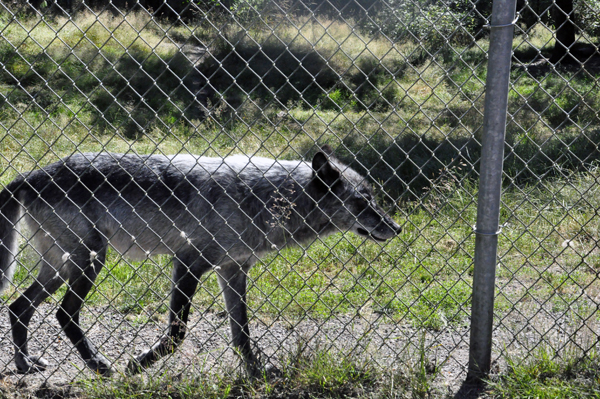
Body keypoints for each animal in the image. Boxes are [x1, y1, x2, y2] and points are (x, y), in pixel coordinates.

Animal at [1, 148, 404, 378]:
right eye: (362, 202)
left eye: (374, 198)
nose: (397, 228)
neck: (265, 197)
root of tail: (30, 175)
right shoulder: (188, 264)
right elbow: (177, 333)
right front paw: (138, 364)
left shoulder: (234, 271)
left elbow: (242, 335)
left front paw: (258, 373)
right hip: (88, 263)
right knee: (63, 314)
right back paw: (99, 365)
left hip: (61, 268)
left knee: (18, 307)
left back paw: (25, 365)